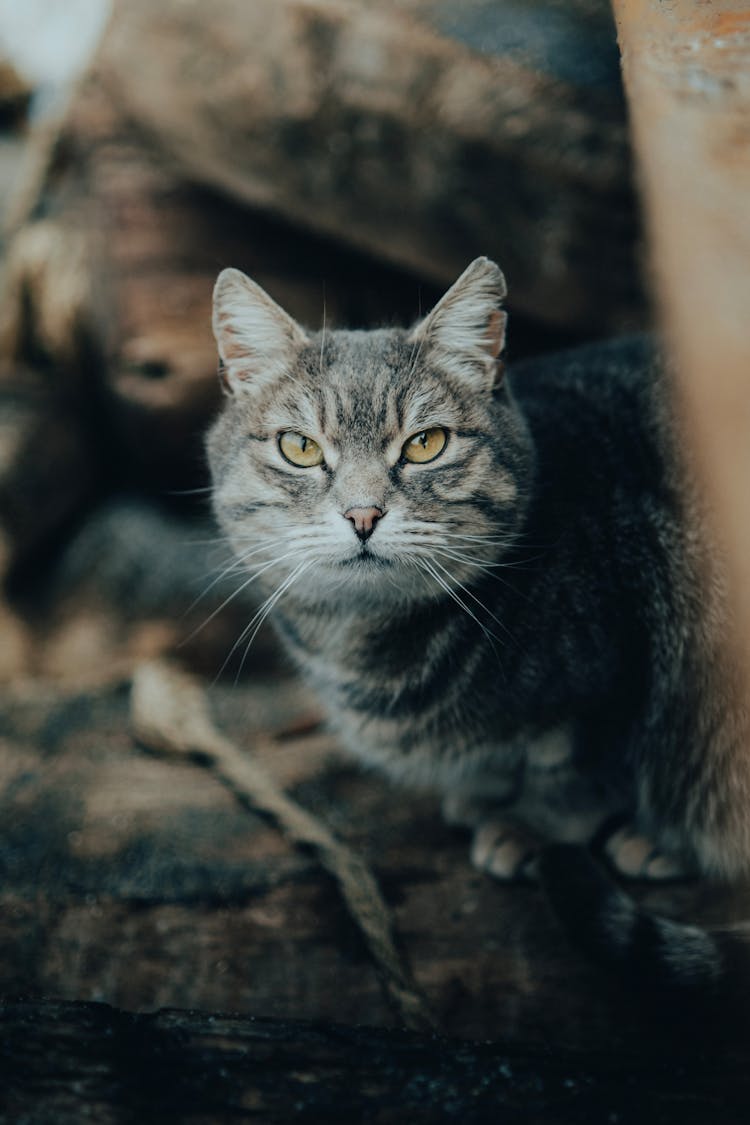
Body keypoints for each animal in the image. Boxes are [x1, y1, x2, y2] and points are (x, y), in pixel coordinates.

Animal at [208, 257, 750, 1021]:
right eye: (300, 447)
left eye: (426, 444)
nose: (363, 514)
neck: (365, 640)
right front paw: (482, 792)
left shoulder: (611, 679)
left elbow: (574, 771)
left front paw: (529, 824)